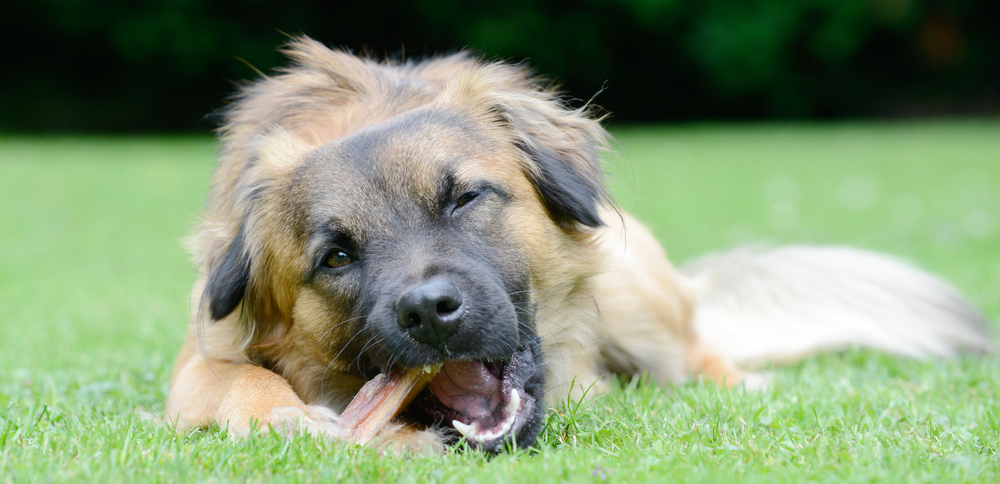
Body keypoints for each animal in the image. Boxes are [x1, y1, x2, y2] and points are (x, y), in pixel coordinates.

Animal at [164, 36, 992, 454]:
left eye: (464, 197)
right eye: (335, 256)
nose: (429, 311)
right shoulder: (198, 358)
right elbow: (233, 380)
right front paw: (283, 415)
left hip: (635, 289)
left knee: (700, 356)